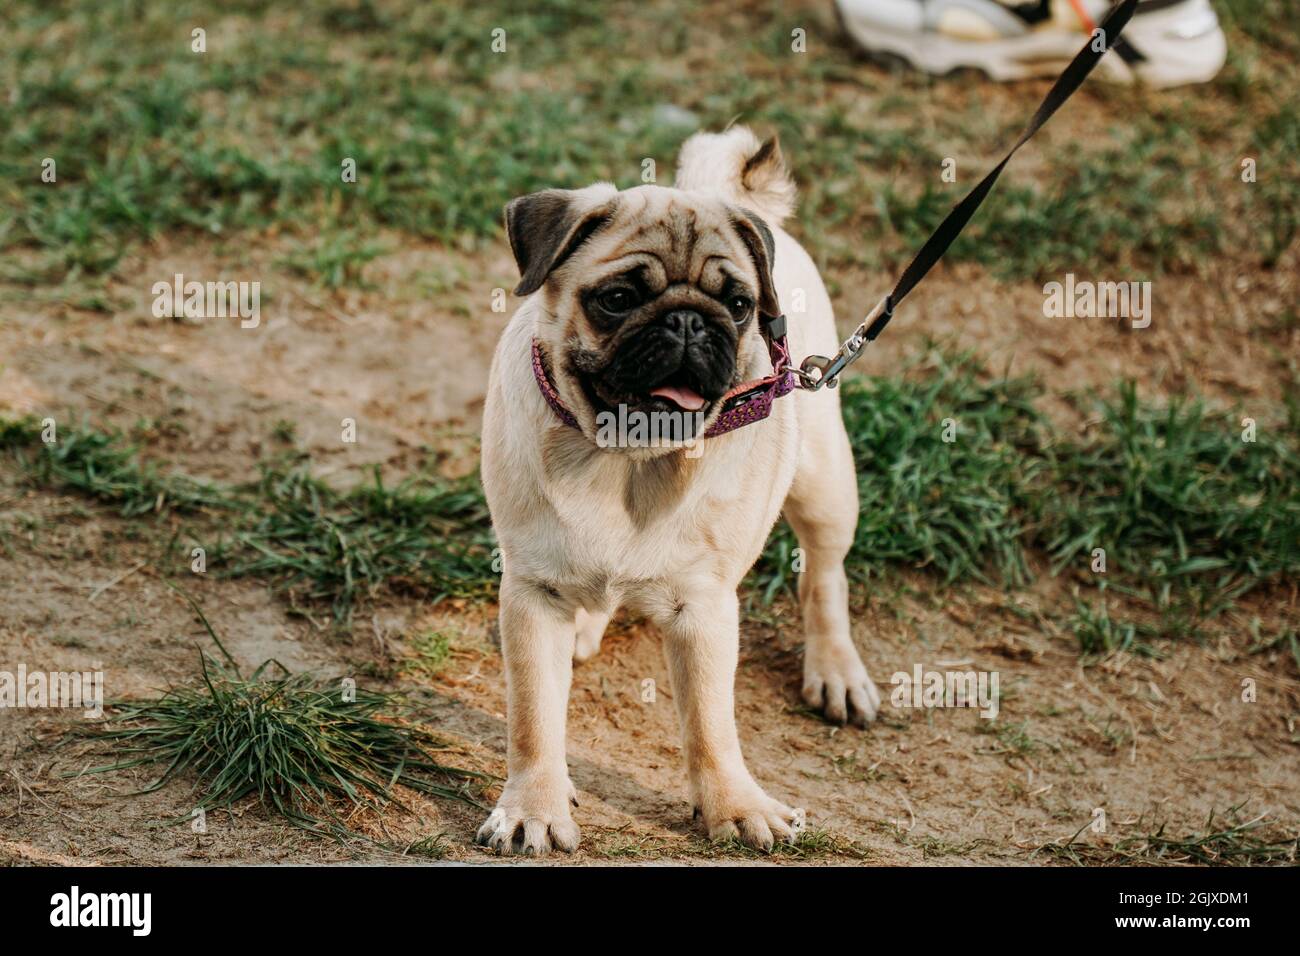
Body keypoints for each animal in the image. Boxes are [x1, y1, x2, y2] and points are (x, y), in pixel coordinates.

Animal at [473, 125, 878, 853]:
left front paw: (734, 807)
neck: (626, 461)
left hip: (826, 483)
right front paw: (534, 807)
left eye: (739, 307)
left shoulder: (704, 607)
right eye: (617, 299)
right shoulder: (533, 593)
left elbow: (712, 725)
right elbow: (534, 720)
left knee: (825, 577)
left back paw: (836, 670)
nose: (691, 321)